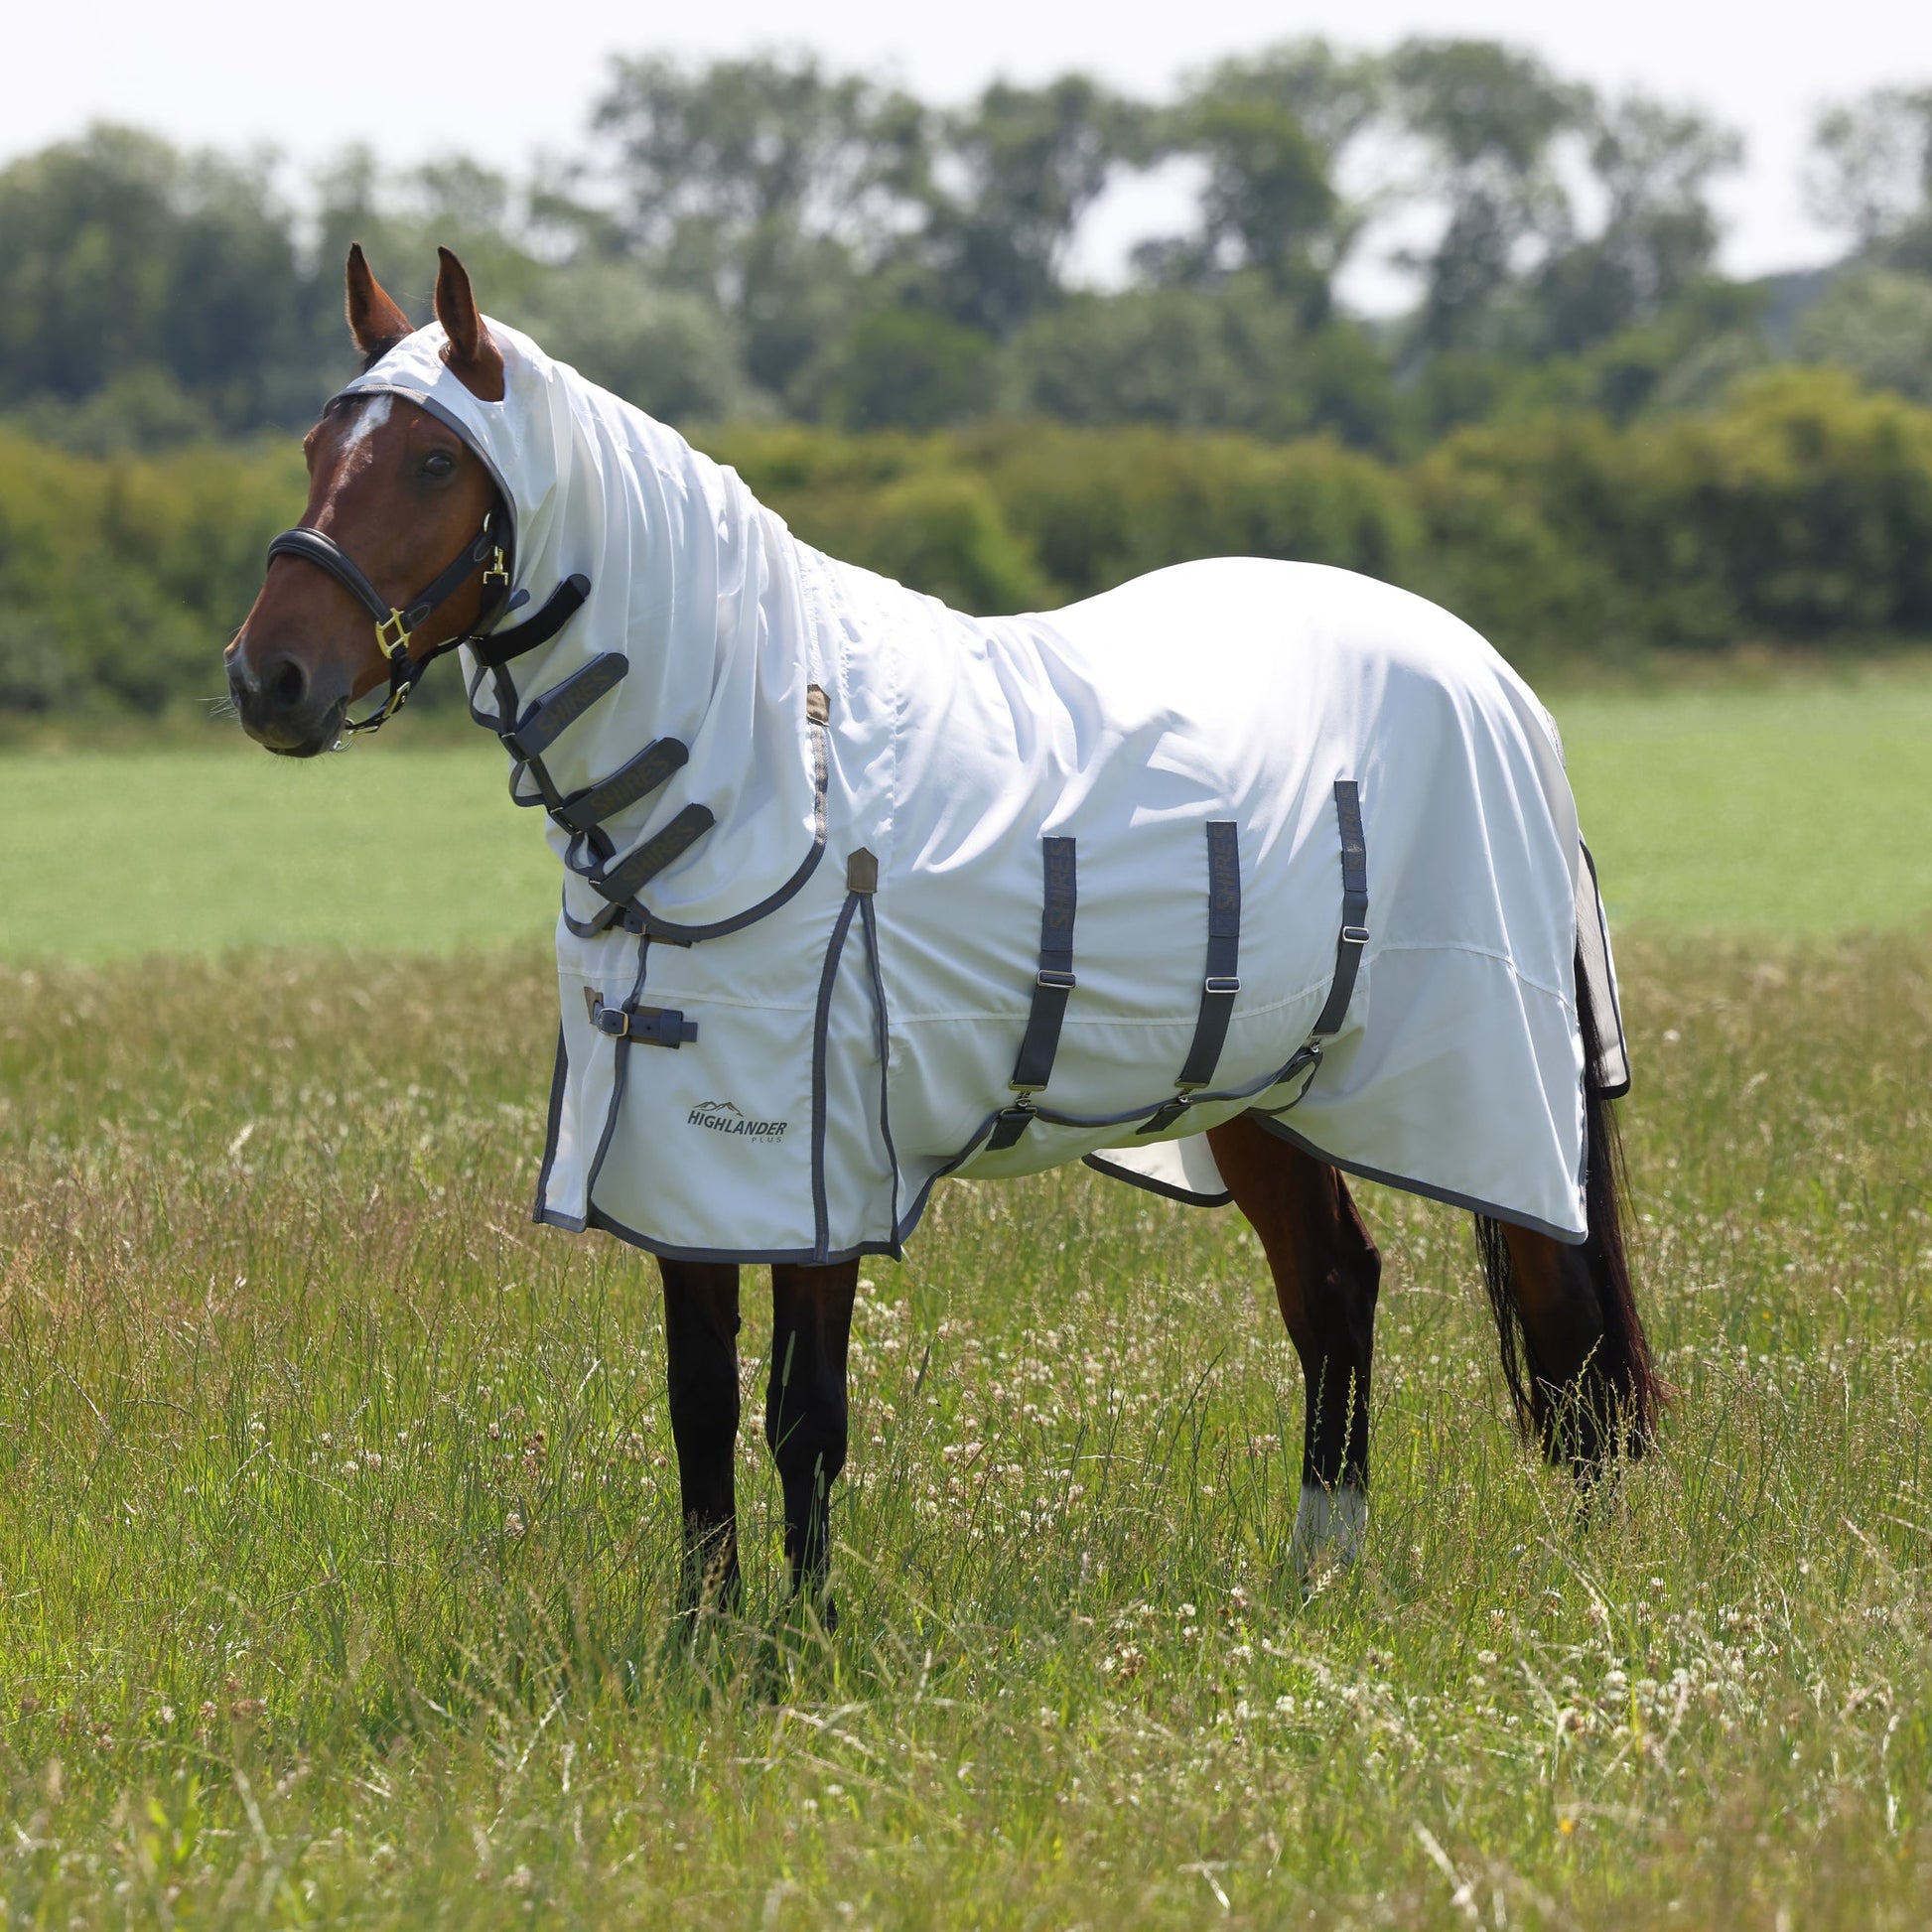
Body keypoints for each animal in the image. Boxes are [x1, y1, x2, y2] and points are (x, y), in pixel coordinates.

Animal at [227, 246, 1661, 1623]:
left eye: (431, 460)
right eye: (311, 447)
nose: (266, 679)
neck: (760, 769)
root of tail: (1490, 676)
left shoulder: (817, 1166)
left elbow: (801, 1416)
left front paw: (798, 1644)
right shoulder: (680, 1164)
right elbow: (699, 1408)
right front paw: (700, 1635)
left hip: (1498, 1083)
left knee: (1569, 1333)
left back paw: (1593, 1580)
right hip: (1262, 1087)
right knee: (1334, 1287)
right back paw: (1319, 1573)